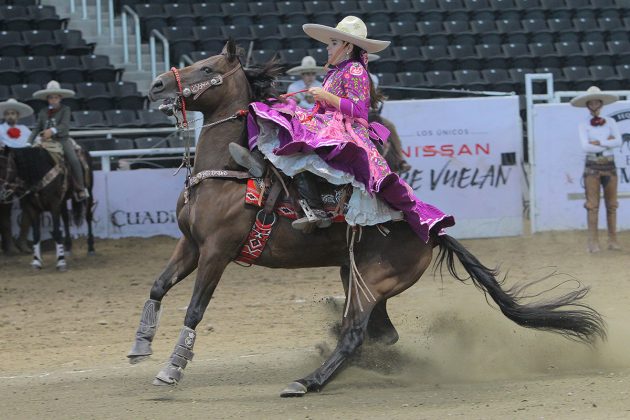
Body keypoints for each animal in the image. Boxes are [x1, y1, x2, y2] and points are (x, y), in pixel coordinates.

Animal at [127, 41, 608, 398]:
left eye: (206, 66)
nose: (156, 85)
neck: (230, 171)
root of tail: (432, 231)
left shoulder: (217, 252)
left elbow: (195, 308)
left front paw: (171, 369)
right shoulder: (190, 244)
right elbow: (157, 286)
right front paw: (139, 345)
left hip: (370, 281)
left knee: (355, 333)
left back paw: (309, 381)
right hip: (356, 274)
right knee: (378, 333)